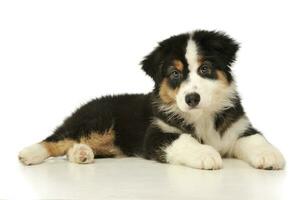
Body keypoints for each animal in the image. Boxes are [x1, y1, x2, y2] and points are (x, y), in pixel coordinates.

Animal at [18, 30, 284, 170]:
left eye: (205, 68)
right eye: (175, 74)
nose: (192, 98)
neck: (202, 117)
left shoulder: (238, 127)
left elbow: (255, 138)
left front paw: (270, 156)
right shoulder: (156, 135)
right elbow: (183, 139)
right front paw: (206, 154)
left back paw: (81, 154)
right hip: (97, 121)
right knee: (57, 139)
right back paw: (29, 154)